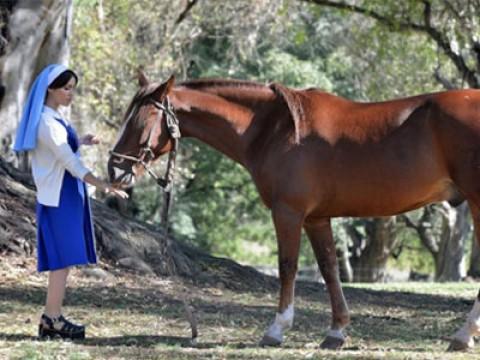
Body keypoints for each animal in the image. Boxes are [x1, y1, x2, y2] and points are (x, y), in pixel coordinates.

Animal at [107, 71, 480, 350]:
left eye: (142, 121)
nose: (114, 171)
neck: (277, 129)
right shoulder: (316, 218)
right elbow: (329, 268)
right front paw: (336, 332)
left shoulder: (288, 212)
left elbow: (287, 267)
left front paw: (276, 329)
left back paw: (463, 336)